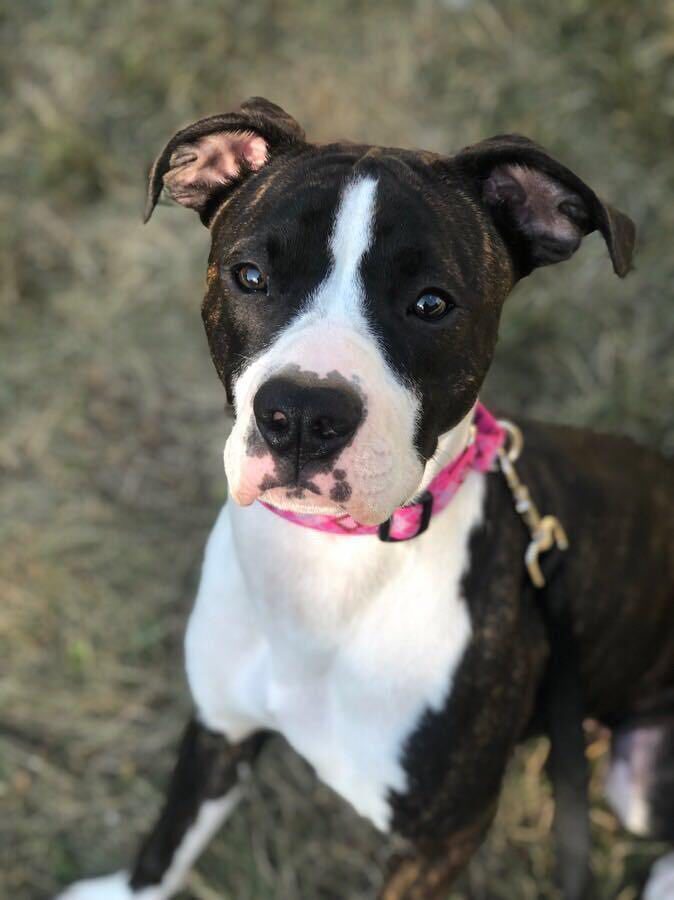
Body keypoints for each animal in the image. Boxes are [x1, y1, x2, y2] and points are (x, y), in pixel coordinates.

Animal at [59, 98, 672, 900]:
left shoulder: (441, 838)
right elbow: (167, 841)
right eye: (249, 275)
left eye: (431, 303)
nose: (300, 415)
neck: (324, 567)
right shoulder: (218, 727)